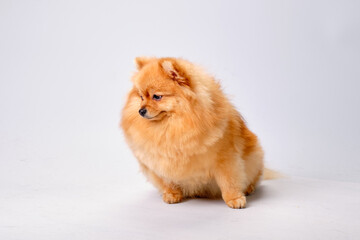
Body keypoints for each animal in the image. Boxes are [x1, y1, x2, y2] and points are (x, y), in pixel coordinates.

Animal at [121, 56, 264, 208]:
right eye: (141, 97)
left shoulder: (225, 157)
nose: (140, 111)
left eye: (157, 97)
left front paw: (234, 198)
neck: (171, 126)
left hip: (255, 156)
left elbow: (229, 180)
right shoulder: (161, 161)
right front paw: (172, 194)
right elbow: (168, 180)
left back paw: (248, 188)